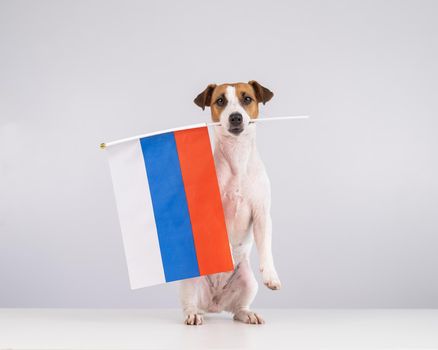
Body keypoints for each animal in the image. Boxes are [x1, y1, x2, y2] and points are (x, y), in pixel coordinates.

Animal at [180, 81, 282, 326]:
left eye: (247, 99)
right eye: (220, 101)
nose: (235, 117)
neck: (237, 156)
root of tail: (214, 304)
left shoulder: (262, 214)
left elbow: (266, 247)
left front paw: (271, 275)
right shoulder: (208, 213)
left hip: (247, 281)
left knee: (238, 309)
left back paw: (248, 314)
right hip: (190, 281)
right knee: (189, 304)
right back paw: (193, 314)